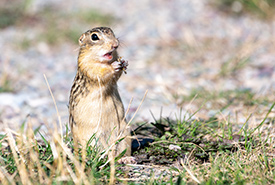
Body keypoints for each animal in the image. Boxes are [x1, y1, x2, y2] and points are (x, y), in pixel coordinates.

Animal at [68, 26, 130, 156]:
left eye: (111, 31)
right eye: (94, 37)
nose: (115, 44)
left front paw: (124, 62)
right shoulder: (87, 65)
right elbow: (101, 72)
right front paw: (115, 66)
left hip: (125, 134)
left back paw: (125, 158)